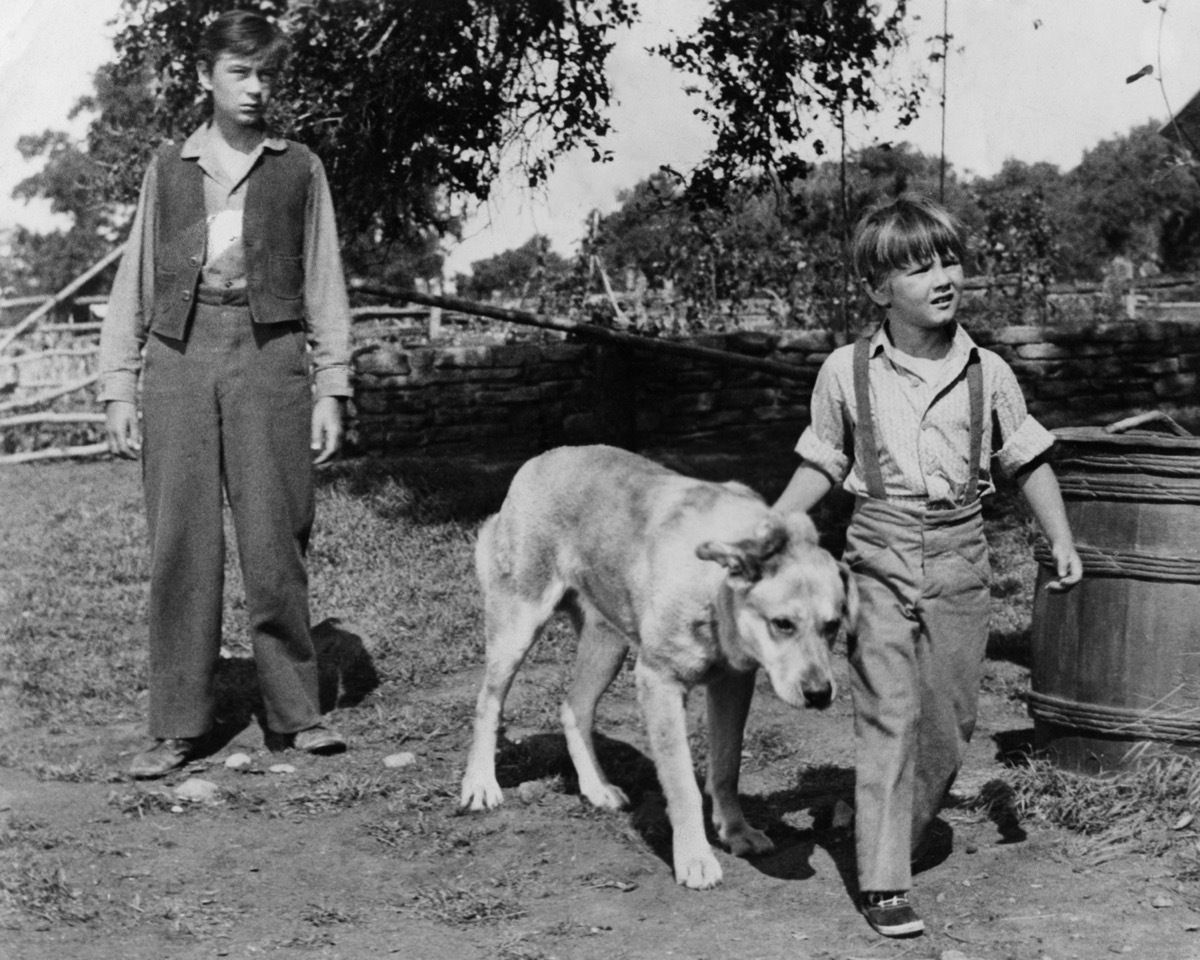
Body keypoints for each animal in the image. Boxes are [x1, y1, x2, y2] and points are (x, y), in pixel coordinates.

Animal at [456, 446, 854, 888]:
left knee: (574, 708)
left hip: (607, 644)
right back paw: (480, 785)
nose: (819, 694)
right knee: (488, 703)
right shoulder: (658, 683)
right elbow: (682, 785)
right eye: (782, 624)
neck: (712, 592)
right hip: (517, 627)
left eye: (833, 625)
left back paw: (597, 788)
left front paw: (737, 832)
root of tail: (540, 459)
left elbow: (726, 767)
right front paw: (695, 858)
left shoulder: (734, 684)